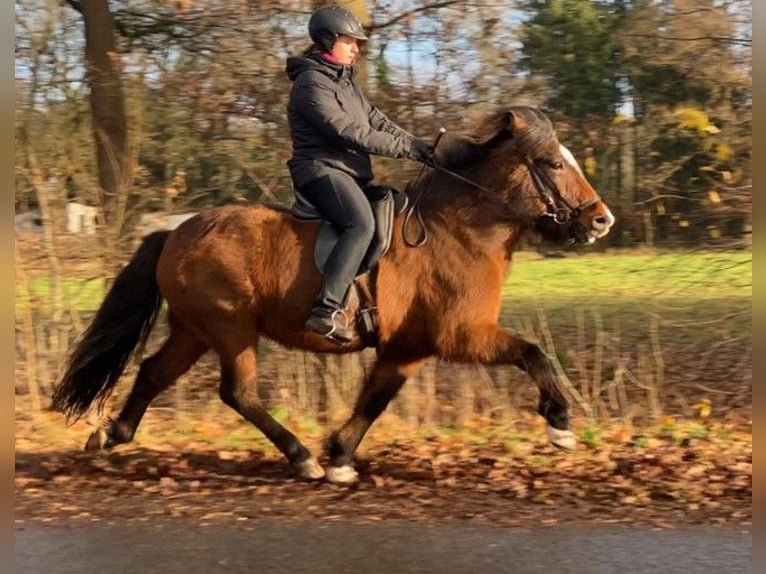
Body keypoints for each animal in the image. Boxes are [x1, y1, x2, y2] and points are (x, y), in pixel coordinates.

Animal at [51, 104, 616, 486]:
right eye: (553, 163)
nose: (601, 220)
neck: (458, 230)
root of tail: (174, 233)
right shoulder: (462, 336)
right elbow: (534, 355)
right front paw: (560, 425)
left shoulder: (408, 348)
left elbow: (375, 400)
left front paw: (341, 455)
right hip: (231, 329)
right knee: (238, 393)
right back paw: (300, 458)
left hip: (195, 330)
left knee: (153, 374)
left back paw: (112, 435)